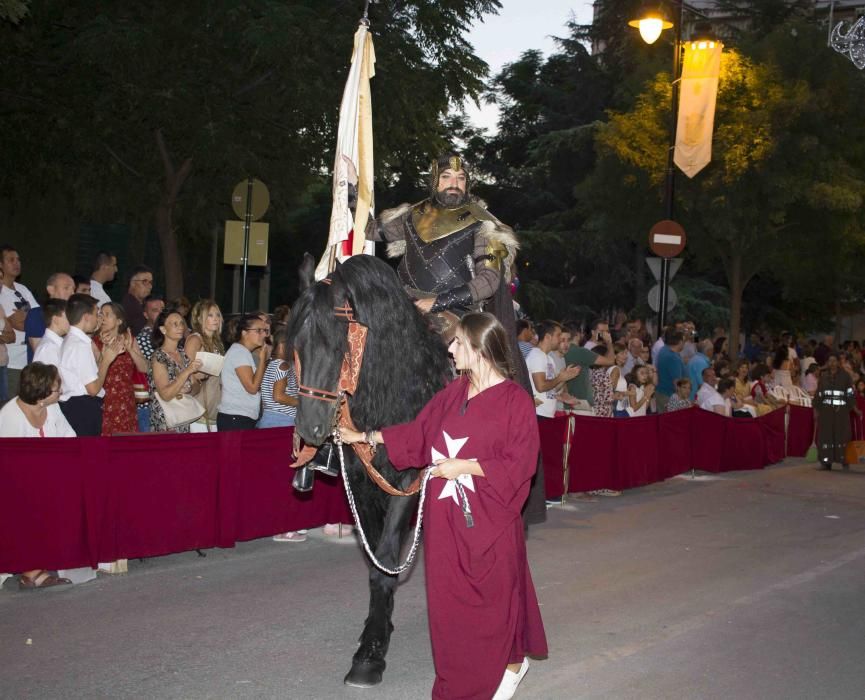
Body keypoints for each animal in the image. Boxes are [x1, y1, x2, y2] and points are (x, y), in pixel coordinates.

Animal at [288, 254, 452, 688]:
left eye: (338, 345)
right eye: (295, 346)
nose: (309, 429)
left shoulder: (407, 482)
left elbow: (385, 557)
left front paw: (370, 655)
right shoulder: (363, 485)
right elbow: (379, 558)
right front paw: (376, 633)